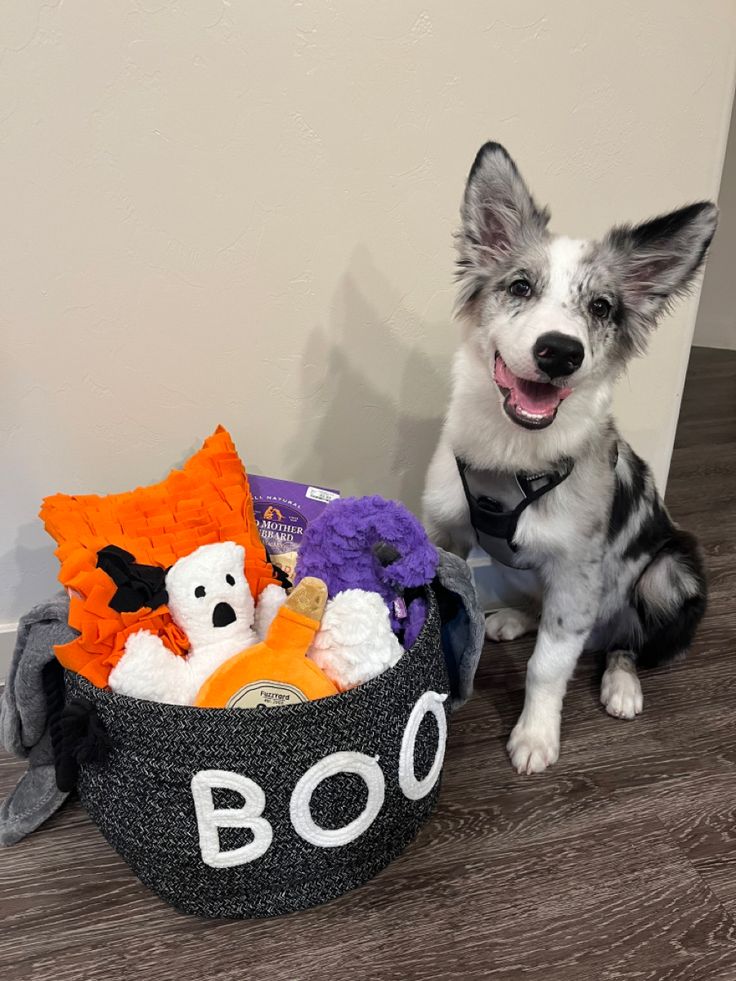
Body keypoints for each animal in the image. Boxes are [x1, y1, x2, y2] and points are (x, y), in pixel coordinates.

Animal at [422, 142, 716, 776]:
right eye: (519, 287)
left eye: (601, 307)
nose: (559, 352)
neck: (514, 452)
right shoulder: (443, 534)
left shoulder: (579, 571)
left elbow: (549, 665)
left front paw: (535, 735)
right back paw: (514, 617)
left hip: (667, 575)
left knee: (625, 643)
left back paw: (622, 684)